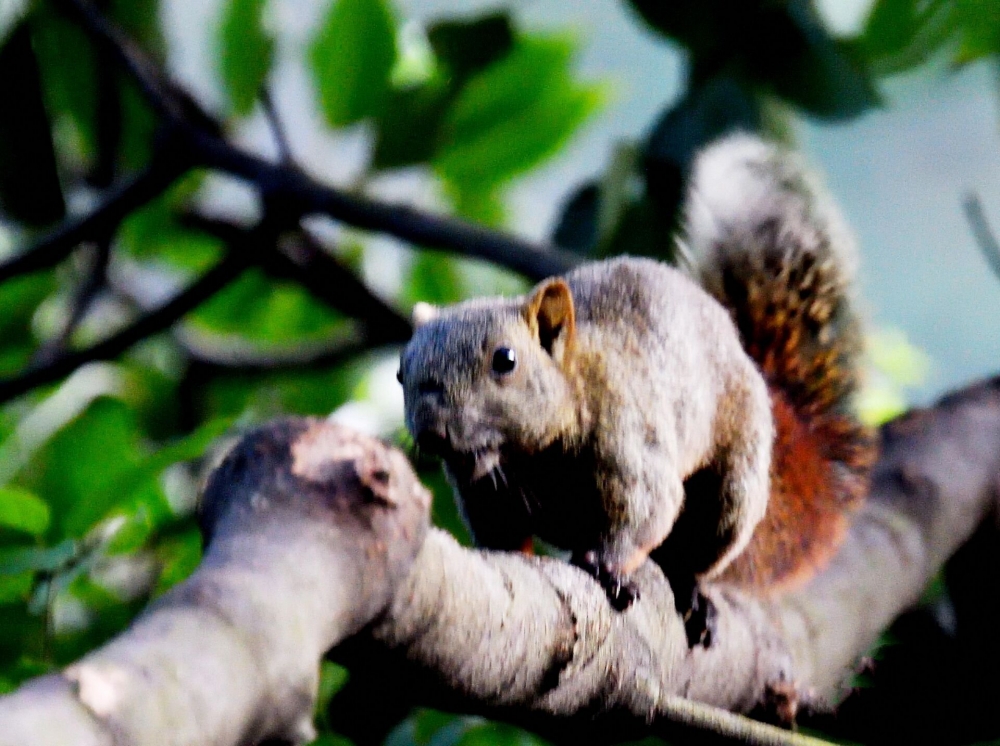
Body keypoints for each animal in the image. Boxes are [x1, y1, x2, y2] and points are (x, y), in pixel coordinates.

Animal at [396, 134, 876, 644]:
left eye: (505, 360)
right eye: (401, 372)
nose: (431, 431)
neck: (527, 459)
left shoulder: (629, 440)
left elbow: (646, 508)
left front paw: (605, 563)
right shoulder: (484, 492)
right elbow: (502, 534)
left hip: (733, 489)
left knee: (696, 549)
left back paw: (690, 590)